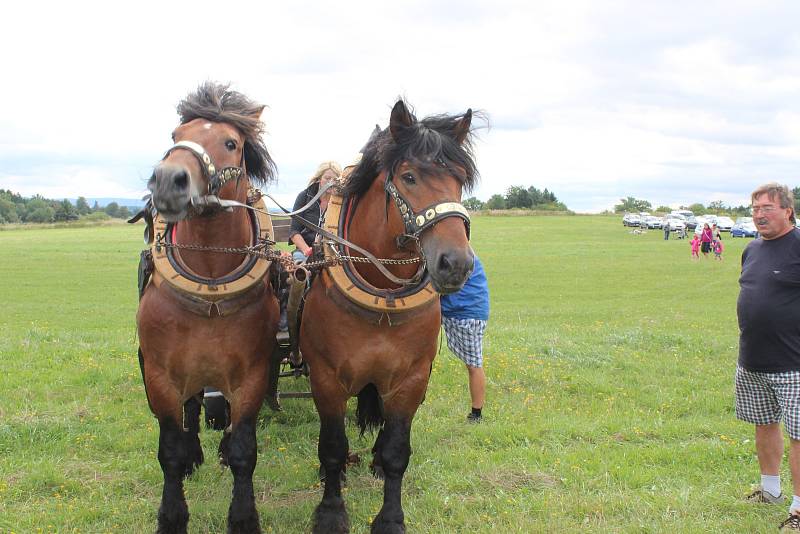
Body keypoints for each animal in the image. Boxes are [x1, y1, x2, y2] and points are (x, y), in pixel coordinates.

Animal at [141, 84, 282, 534]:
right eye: (175, 134)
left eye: (231, 143)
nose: (168, 180)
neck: (210, 288)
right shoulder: (160, 376)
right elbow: (169, 449)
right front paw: (172, 515)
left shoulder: (252, 376)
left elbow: (244, 449)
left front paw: (243, 517)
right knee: (190, 409)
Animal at [298, 99, 476, 532]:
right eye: (409, 176)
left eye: (461, 180)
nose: (456, 264)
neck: (382, 298)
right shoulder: (326, 378)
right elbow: (332, 447)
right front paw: (331, 512)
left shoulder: (411, 379)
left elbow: (398, 450)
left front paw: (391, 517)